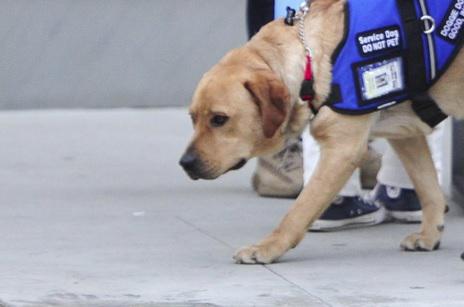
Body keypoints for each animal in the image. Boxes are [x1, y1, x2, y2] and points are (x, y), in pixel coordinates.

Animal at [179, 0, 462, 264]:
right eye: (193, 118)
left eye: (219, 119)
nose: (185, 163)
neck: (310, 59)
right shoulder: (404, 132)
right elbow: (428, 188)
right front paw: (430, 235)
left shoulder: (342, 150)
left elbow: (300, 210)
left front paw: (268, 247)